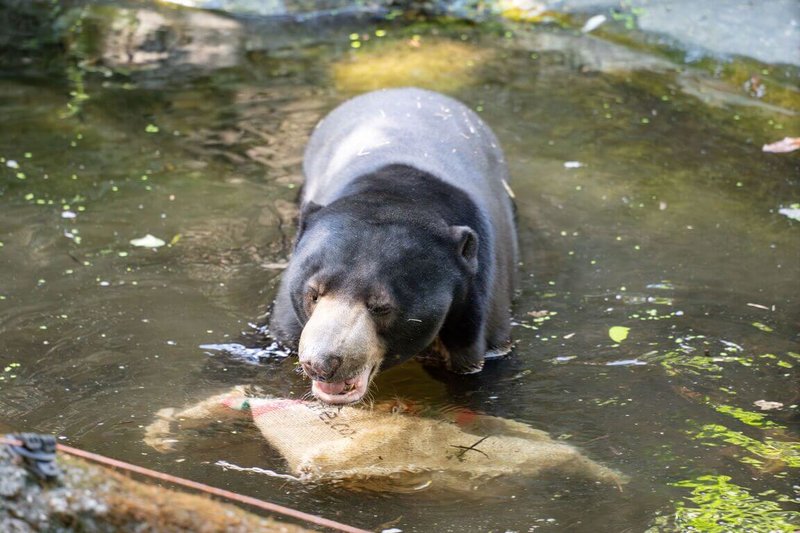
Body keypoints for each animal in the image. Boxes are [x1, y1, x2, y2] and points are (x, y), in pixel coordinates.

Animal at [269, 87, 517, 404]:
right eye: (312, 294)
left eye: (381, 307)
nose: (321, 363)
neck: (399, 194)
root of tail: (401, 89)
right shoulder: (287, 320)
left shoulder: (476, 307)